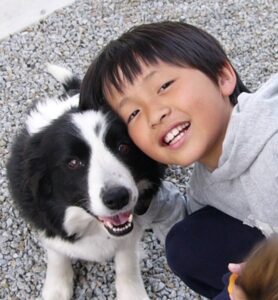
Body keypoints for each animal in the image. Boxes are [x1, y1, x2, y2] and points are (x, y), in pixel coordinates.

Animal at [7, 65, 165, 300]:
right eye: (73, 162)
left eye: (123, 147)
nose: (117, 197)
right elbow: (57, 251)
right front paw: (57, 287)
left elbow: (127, 258)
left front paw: (132, 292)